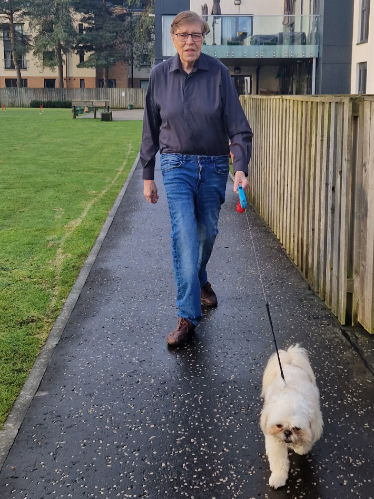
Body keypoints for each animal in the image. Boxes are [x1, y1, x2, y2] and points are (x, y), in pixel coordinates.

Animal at [260, 346, 322, 490]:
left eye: (296, 428)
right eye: (279, 425)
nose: (287, 433)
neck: (291, 393)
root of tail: (289, 361)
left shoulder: (314, 423)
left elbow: (306, 440)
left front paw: (301, 448)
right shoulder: (275, 442)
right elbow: (279, 462)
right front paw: (278, 478)